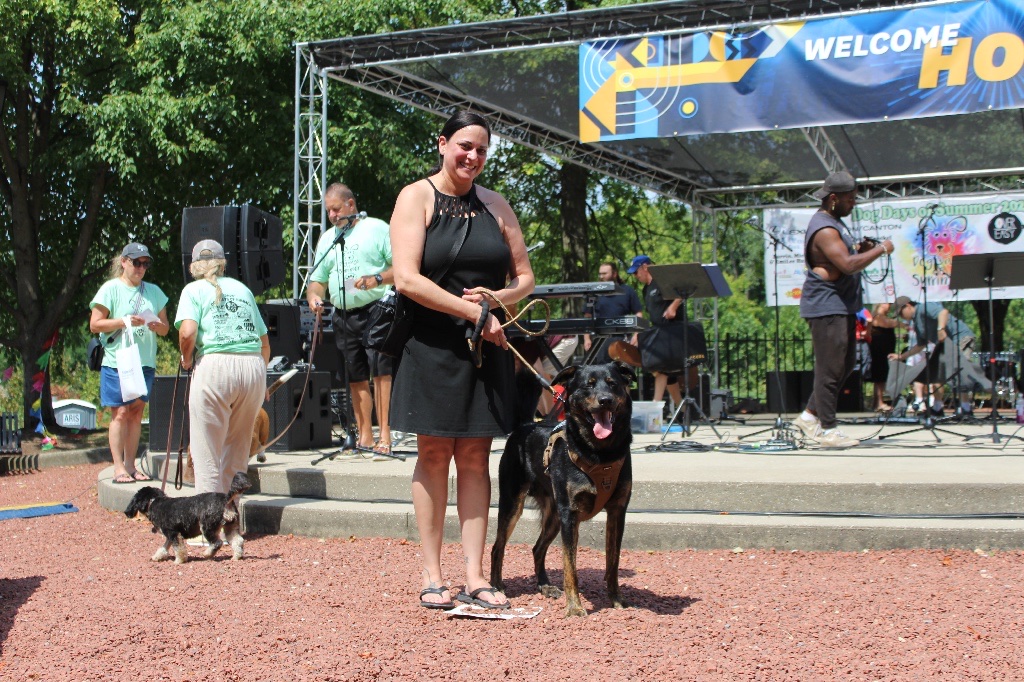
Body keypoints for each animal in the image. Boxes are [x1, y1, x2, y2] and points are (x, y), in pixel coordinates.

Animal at [491, 361, 635, 617]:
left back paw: (545, 586)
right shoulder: (570, 514)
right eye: (588, 385)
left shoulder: (617, 511)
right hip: (513, 505)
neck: (599, 453)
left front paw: (616, 599)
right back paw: (497, 586)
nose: (605, 400)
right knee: (498, 547)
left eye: (613, 384)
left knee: (537, 549)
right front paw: (575, 607)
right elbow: (570, 566)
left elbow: (613, 561)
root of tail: (524, 427)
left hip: (554, 515)